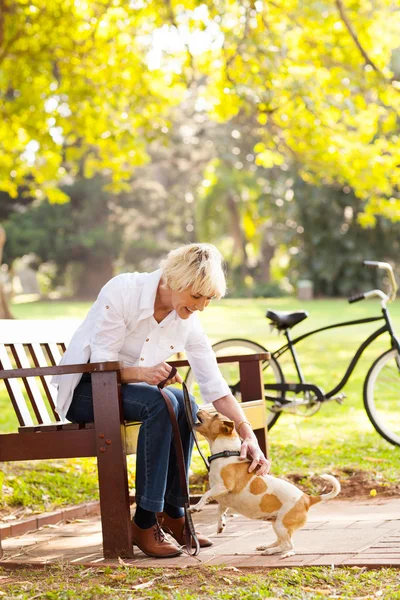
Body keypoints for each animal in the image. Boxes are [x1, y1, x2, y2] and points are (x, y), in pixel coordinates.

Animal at [191, 408, 340, 556]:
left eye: (215, 415)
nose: (199, 408)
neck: (226, 453)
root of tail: (307, 498)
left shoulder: (223, 486)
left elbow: (206, 495)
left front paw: (195, 507)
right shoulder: (223, 498)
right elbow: (219, 510)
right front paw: (220, 525)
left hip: (281, 525)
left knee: (288, 545)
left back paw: (270, 551)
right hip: (275, 523)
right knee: (282, 541)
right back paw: (267, 546)